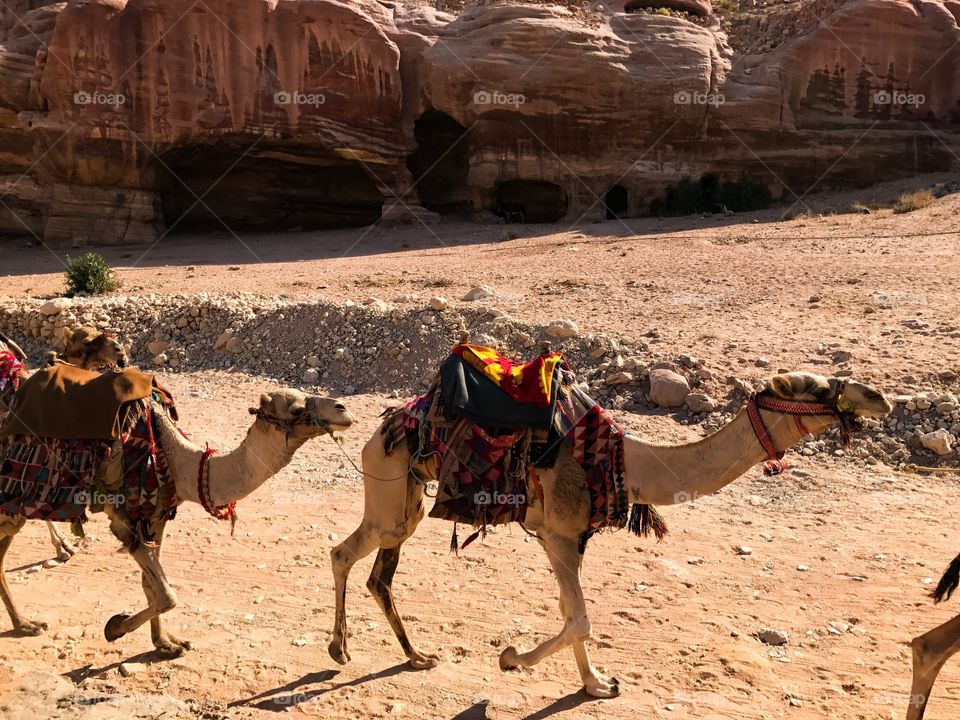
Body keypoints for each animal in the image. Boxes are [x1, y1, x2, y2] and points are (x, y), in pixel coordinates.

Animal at [0, 388, 353, 657]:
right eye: (295, 408)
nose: (343, 409)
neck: (178, 460)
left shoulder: (157, 516)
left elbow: (152, 586)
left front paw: (166, 644)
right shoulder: (124, 519)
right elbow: (167, 594)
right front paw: (115, 627)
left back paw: (25, 623)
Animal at [329, 369, 891, 697]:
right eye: (817, 389)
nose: (879, 398)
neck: (626, 463)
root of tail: (381, 428)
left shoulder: (567, 539)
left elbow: (571, 613)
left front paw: (594, 683)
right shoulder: (560, 534)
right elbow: (580, 619)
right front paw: (514, 659)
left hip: (407, 497)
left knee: (379, 573)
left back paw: (415, 656)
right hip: (389, 484)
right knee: (344, 553)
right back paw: (340, 651)